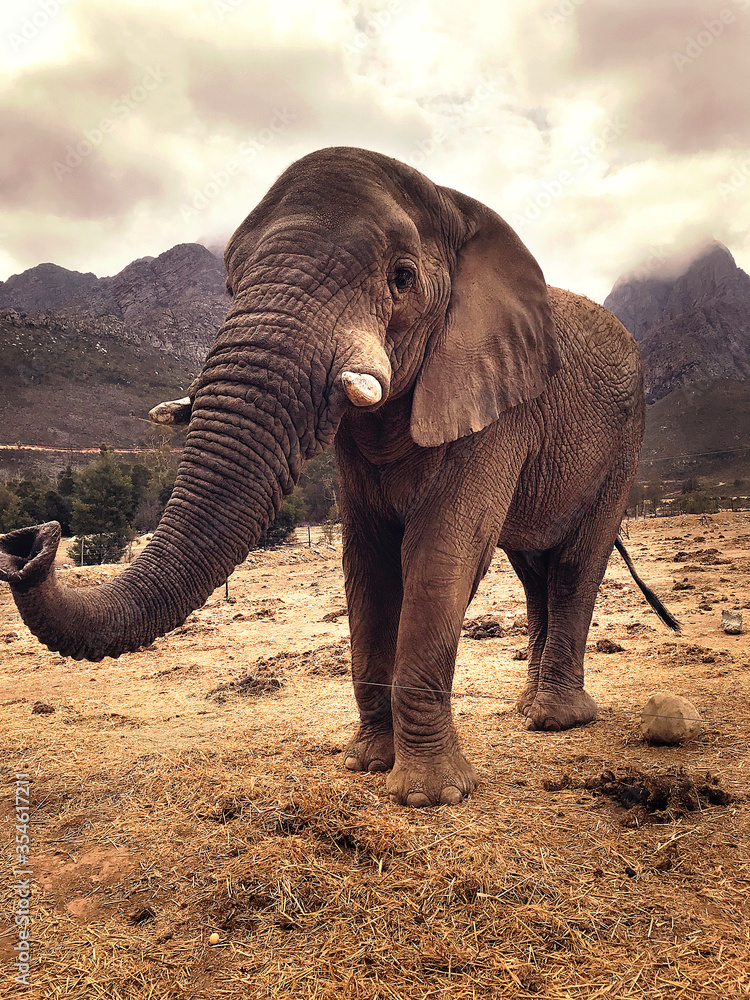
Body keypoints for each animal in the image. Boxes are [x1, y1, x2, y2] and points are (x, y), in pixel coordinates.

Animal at [0, 146, 678, 808]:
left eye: (402, 278)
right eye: (230, 284)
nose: (27, 542)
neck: (455, 207)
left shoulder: (494, 403)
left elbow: (442, 551)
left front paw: (429, 796)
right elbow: (368, 558)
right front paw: (369, 764)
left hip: (626, 442)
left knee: (574, 563)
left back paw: (556, 720)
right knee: (533, 568)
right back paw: (528, 709)